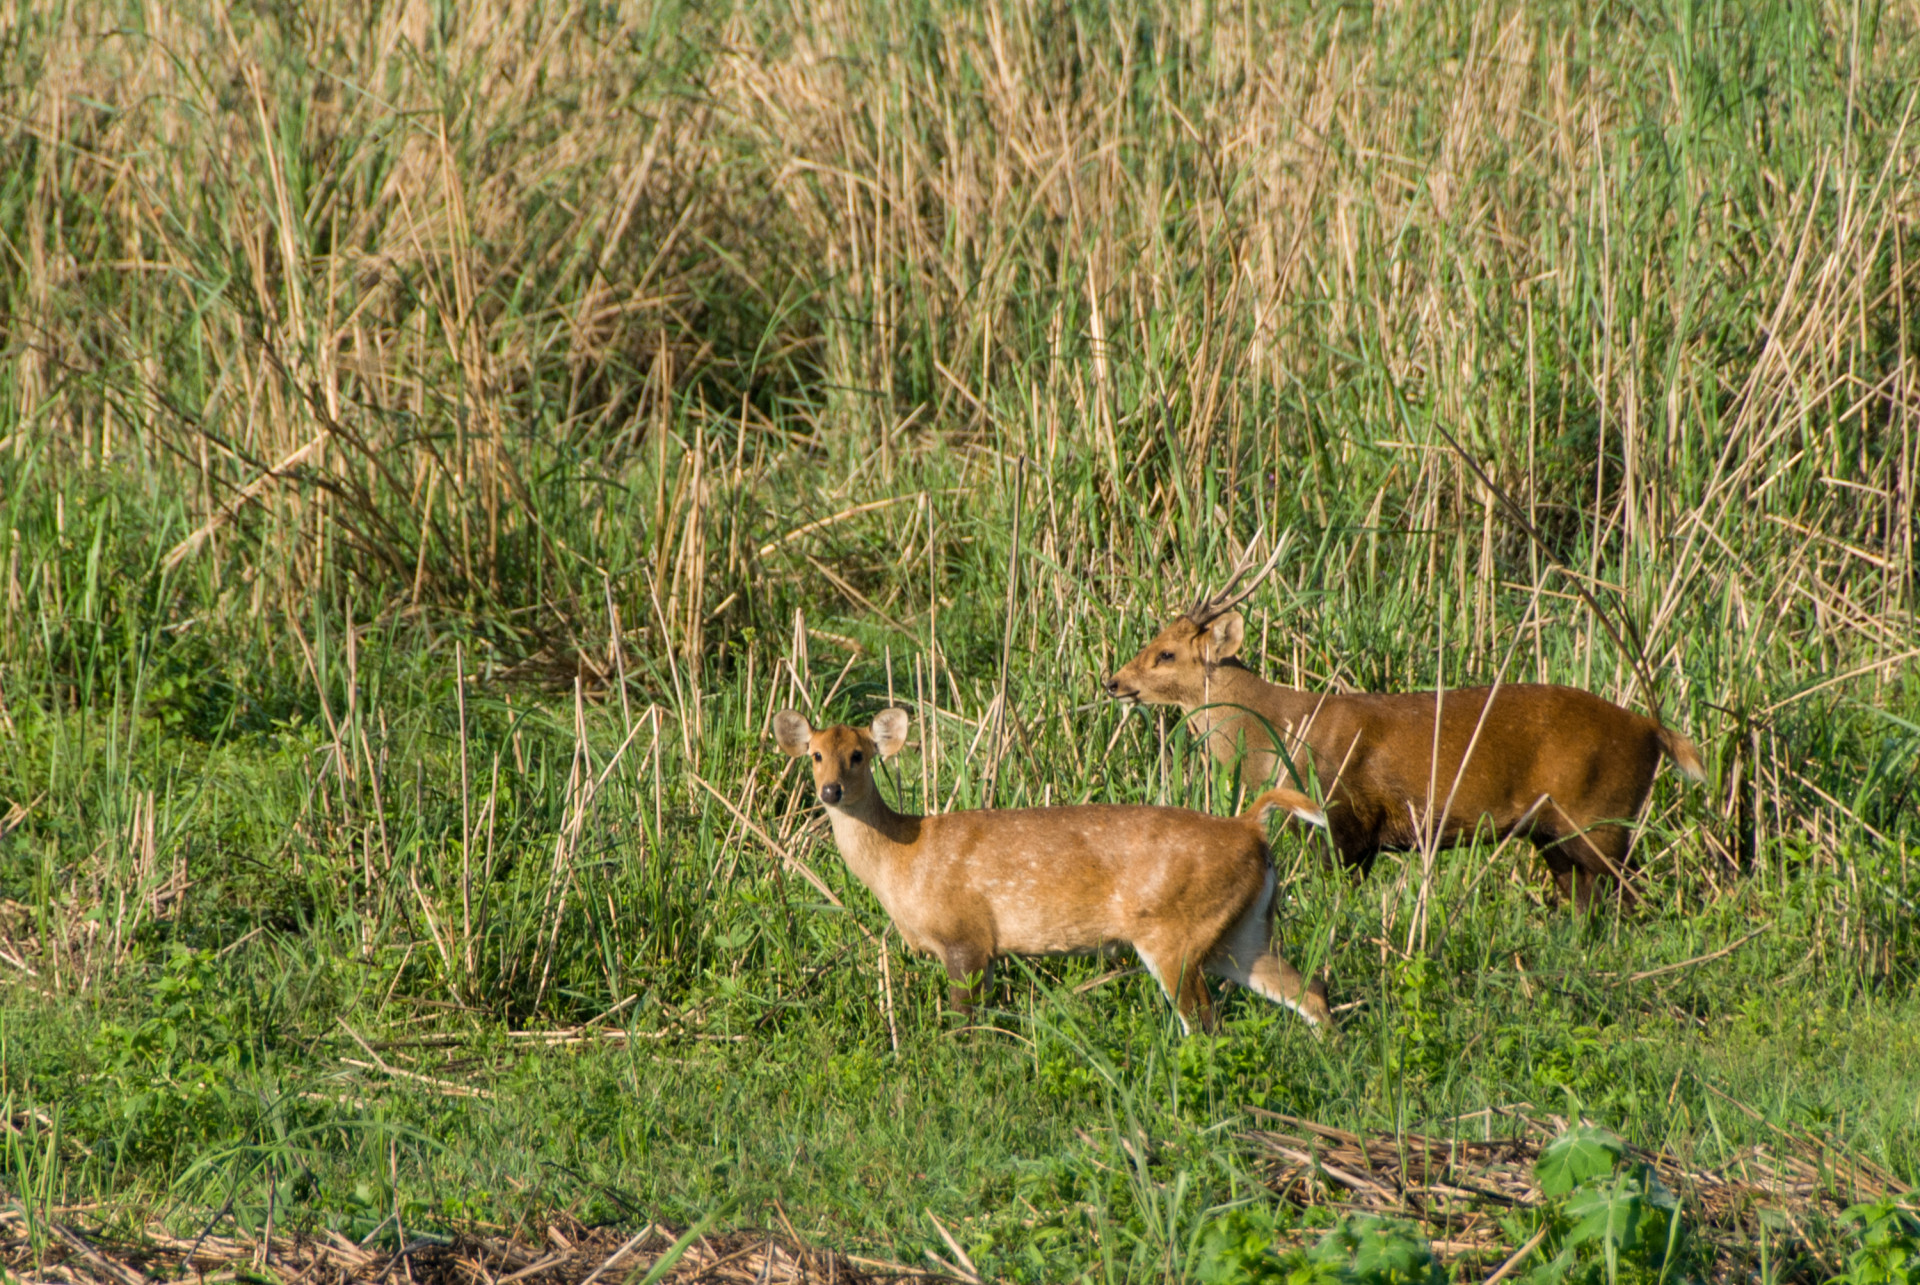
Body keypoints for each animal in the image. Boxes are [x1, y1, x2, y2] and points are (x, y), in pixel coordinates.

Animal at [773, 707, 1336, 1035]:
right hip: (1240, 930)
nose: (830, 791)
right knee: (1308, 989)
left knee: (1204, 1020)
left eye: (859, 755)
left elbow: (962, 1024)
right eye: (815, 754)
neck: (904, 860)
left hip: (1175, 928)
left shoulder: (966, 935)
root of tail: (1250, 829)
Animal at [1104, 548, 1707, 910]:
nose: (1113, 681)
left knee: (1629, 897)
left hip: (1600, 814)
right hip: (1555, 831)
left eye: (1165, 653)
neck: (1281, 732)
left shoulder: (1346, 815)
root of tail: (1654, 730)